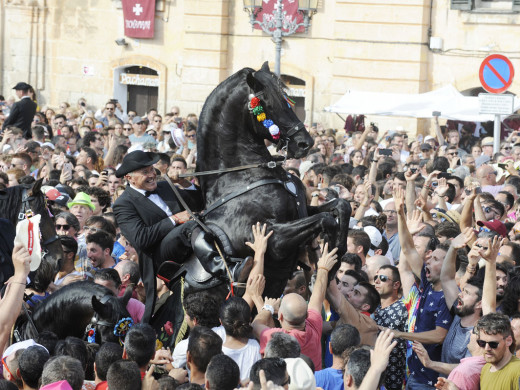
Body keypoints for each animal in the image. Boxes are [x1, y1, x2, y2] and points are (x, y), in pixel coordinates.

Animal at [193, 62, 352, 298]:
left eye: (287, 99)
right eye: (267, 103)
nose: (305, 143)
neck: (241, 175)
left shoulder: (303, 210)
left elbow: (341, 206)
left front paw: (335, 257)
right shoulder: (272, 239)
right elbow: (326, 220)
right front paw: (326, 266)